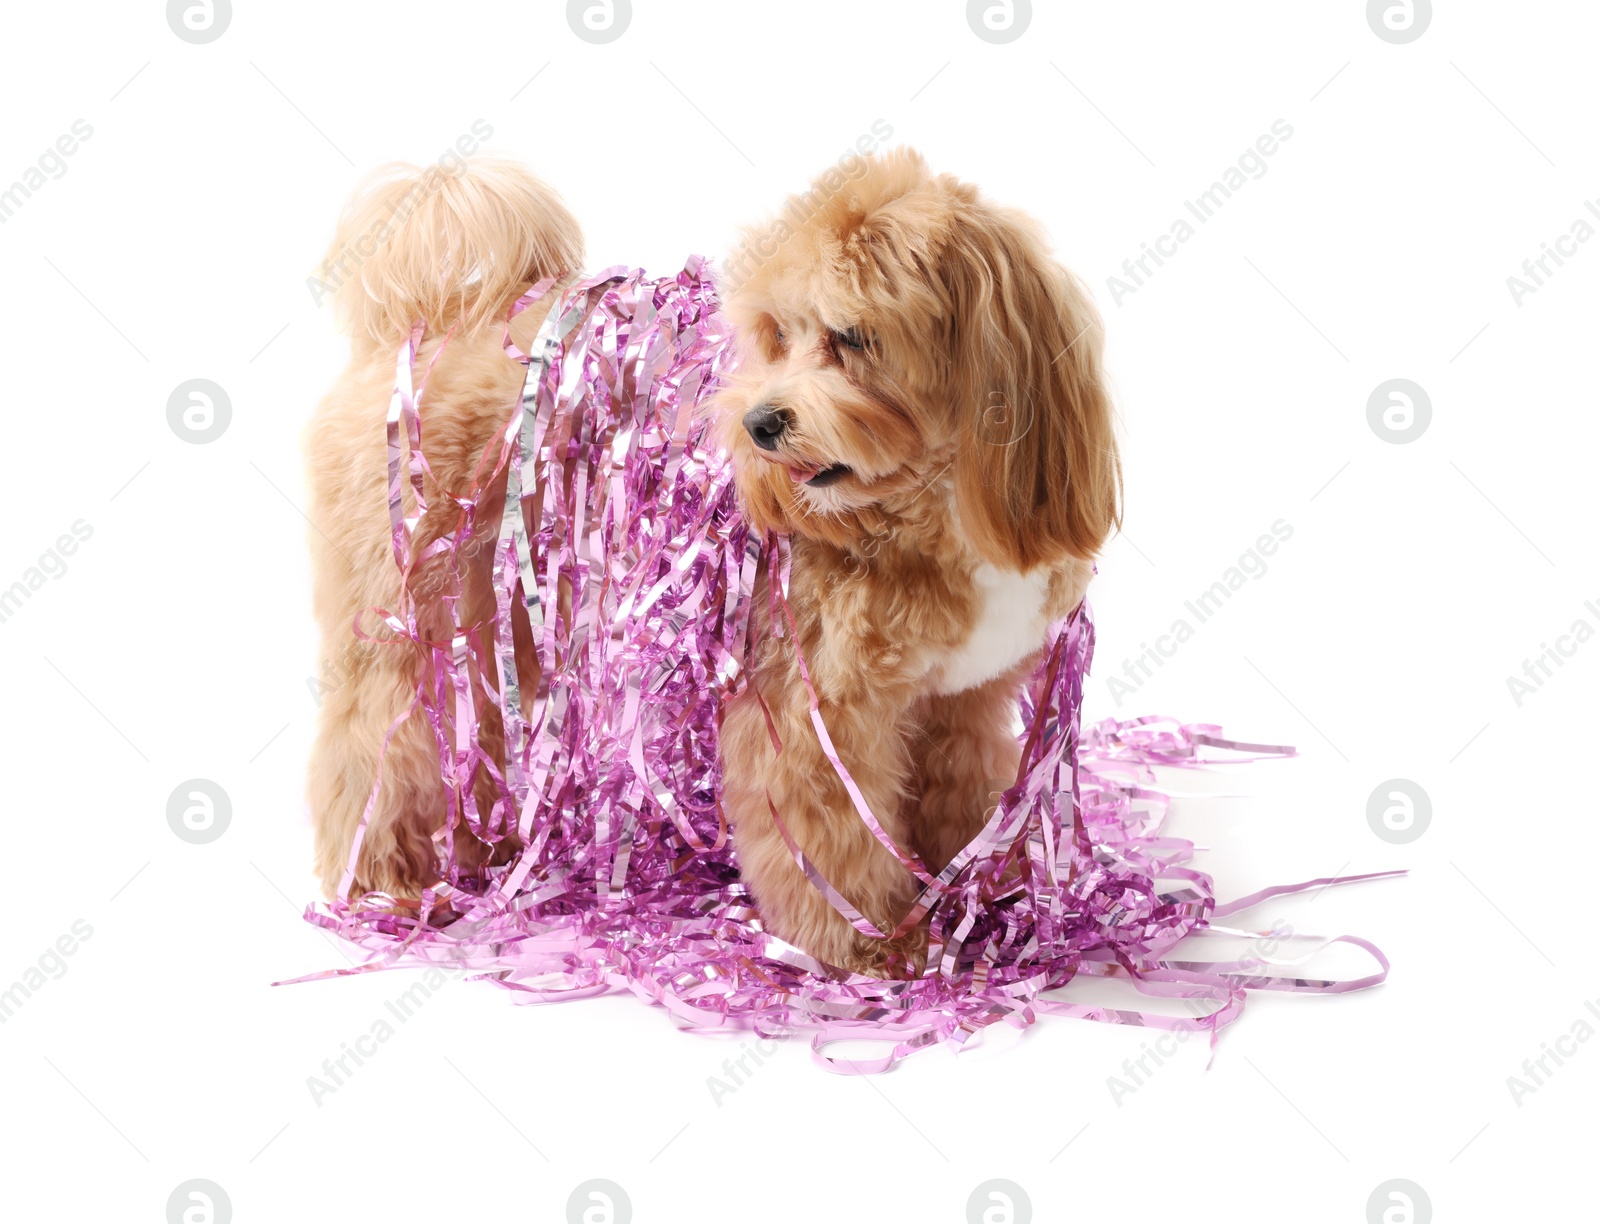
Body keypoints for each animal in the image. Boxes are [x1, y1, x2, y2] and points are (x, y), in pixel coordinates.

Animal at [305, 148, 1120, 979]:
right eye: (779, 335)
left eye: (854, 337)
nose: (760, 423)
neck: (930, 501)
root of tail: (439, 318)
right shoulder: (815, 710)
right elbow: (827, 841)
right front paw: (865, 944)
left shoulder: (961, 702)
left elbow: (962, 795)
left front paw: (977, 899)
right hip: (411, 610)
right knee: (377, 738)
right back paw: (388, 876)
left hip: (504, 617)